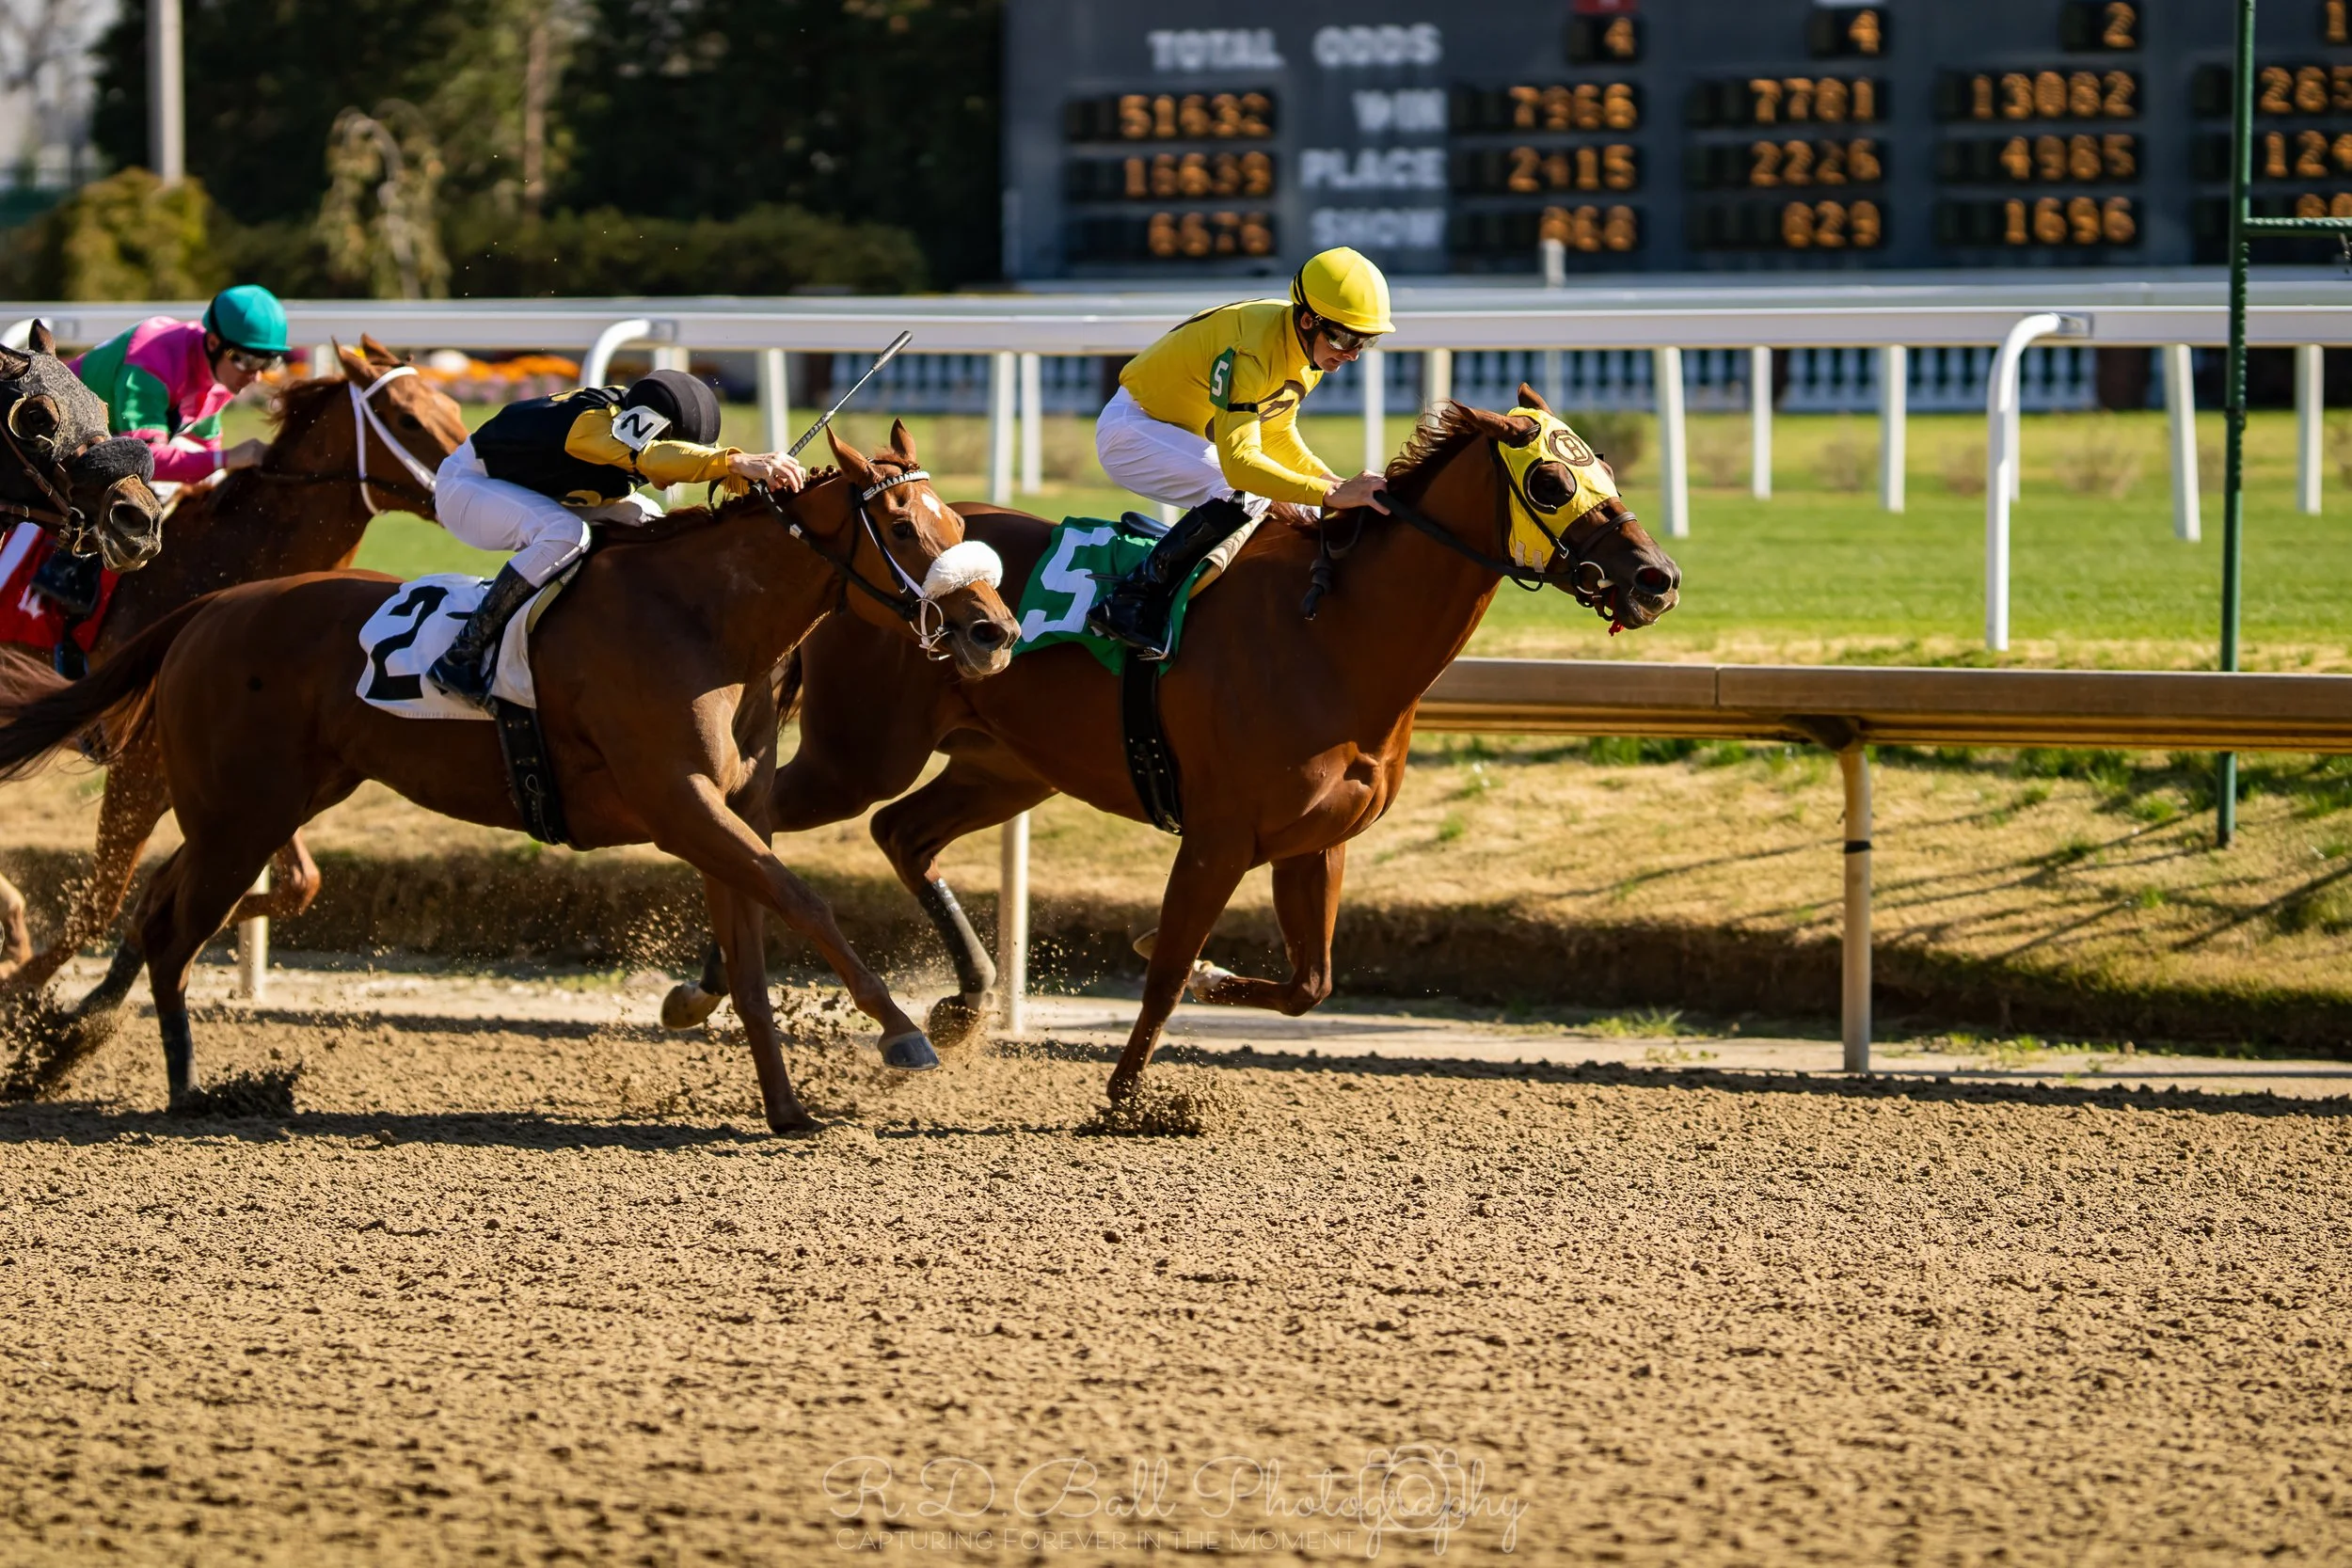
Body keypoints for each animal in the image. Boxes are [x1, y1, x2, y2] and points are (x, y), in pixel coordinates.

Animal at [0, 337, 467, 988]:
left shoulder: (259, 759)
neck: (228, 562)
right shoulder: (140, 760)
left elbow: (300, 883)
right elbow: (101, 903)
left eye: (452, 406)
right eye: (407, 419)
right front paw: (25, 991)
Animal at [0, 422, 1020, 1131]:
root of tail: (207, 609)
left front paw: (786, 1107)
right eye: (901, 525)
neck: (705, 622)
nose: (994, 631)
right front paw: (903, 1031)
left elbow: (751, 958)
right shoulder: (680, 804)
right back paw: (185, 1087)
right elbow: (803, 904)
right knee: (172, 933)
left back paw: (77, 1046)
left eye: (957, 522)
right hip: (236, 813)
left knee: (157, 907)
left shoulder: (730, 813)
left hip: (262, 804)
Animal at [661, 389, 1682, 1101]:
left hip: (1009, 764)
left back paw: (961, 1001)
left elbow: (1306, 982)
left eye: (1603, 469)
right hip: (861, 750)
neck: (1336, 631)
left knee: (899, 834)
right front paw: (1125, 1096)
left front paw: (1192, 971)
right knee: (761, 823)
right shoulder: (1219, 836)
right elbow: (1165, 973)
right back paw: (705, 989)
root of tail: (847, 561)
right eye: (1551, 481)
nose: (1657, 577)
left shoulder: (1314, 843)